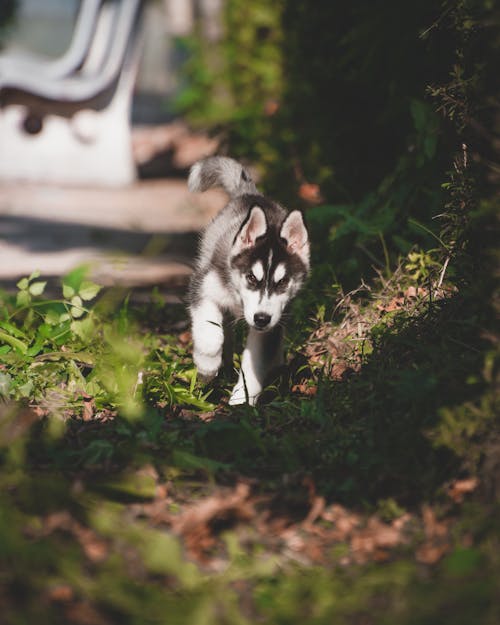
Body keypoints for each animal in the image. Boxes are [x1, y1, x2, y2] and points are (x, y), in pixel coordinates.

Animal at [188, 156, 308, 404]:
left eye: (282, 282)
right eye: (252, 277)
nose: (261, 318)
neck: (239, 299)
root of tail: (253, 195)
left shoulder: (271, 325)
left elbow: (256, 363)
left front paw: (241, 400)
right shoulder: (204, 288)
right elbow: (210, 334)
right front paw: (206, 367)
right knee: (223, 330)